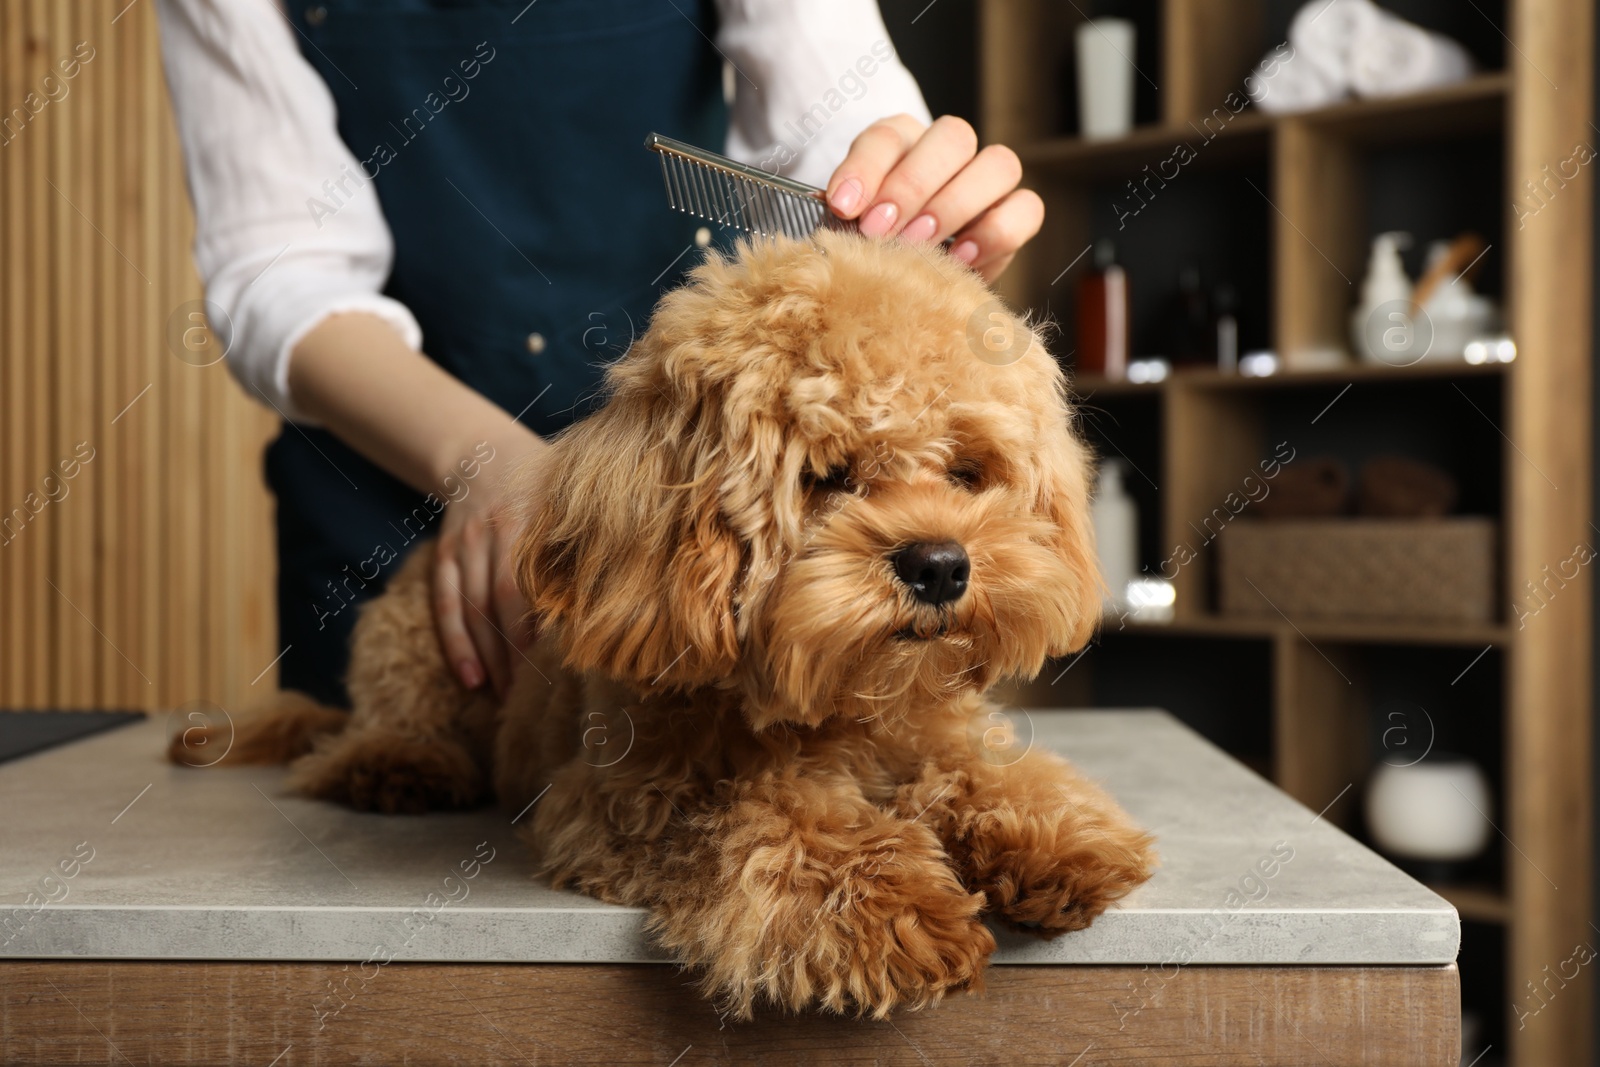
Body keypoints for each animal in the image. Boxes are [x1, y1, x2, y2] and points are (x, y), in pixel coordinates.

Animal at [178, 231, 1152, 1017]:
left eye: (966, 470)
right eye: (828, 476)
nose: (942, 565)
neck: (838, 708)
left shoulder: (933, 726)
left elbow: (979, 767)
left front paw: (1051, 834)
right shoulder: (621, 800)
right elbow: (762, 818)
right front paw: (885, 904)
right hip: (414, 644)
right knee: (378, 731)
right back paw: (399, 765)